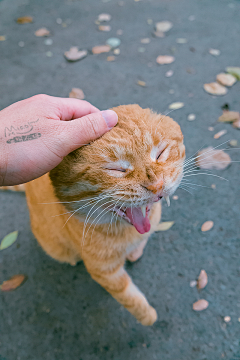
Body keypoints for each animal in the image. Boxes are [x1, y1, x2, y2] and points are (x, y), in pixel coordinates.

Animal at [24, 104, 185, 326]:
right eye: (116, 170)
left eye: (160, 154)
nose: (157, 185)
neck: (127, 233)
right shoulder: (105, 272)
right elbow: (129, 296)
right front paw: (148, 316)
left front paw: (136, 250)